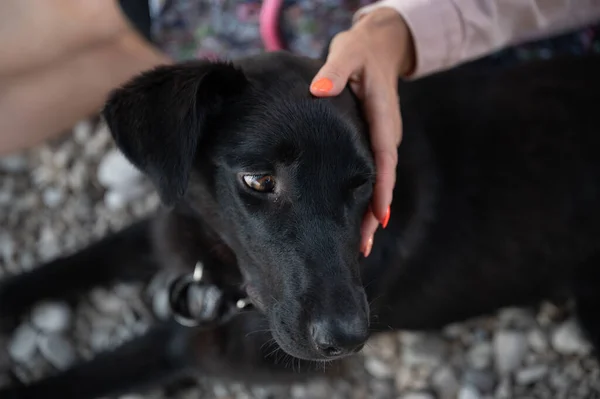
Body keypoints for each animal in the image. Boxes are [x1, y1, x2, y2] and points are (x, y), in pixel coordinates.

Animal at [1, 50, 600, 399]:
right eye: (258, 180)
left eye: (362, 185)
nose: (348, 340)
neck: (218, 259)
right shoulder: (167, 230)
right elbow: (68, 265)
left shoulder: (217, 348)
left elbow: (108, 366)